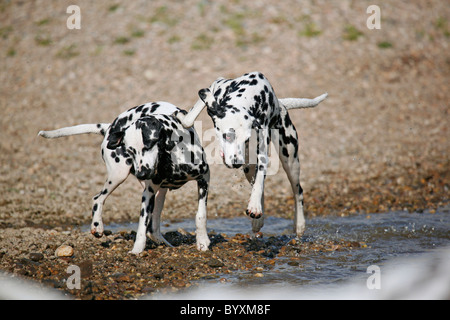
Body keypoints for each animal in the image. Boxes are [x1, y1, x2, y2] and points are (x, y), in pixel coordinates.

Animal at [38, 101, 211, 254]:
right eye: (130, 150)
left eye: (148, 146)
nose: (141, 173)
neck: (174, 156)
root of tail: (109, 128)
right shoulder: (147, 194)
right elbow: (141, 225)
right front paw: (136, 250)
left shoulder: (204, 180)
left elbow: (201, 215)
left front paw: (202, 241)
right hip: (118, 175)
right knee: (98, 198)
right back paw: (97, 226)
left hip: (159, 193)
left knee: (154, 226)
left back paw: (163, 242)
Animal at [176, 72, 326, 238]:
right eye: (227, 135)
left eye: (246, 138)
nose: (236, 162)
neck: (248, 93)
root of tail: (281, 105)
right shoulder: (216, 85)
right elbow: (190, 119)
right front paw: (183, 117)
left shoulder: (262, 155)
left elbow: (259, 181)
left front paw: (254, 206)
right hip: (249, 168)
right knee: (261, 189)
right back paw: (258, 220)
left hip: (290, 161)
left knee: (297, 192)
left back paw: (299, 224)